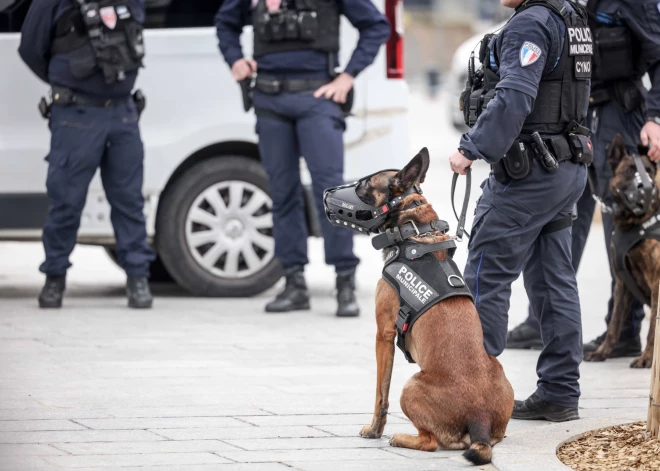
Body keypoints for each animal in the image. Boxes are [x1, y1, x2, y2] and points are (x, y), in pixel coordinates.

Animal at [356, 150, 516, 464]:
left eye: (366, 184)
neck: (413, 230)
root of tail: (479, 418)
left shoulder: (383, 335)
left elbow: (381, 394)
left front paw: (374, 430)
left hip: (411, 386)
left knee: (429, 442)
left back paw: (401, 437)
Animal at [584, 134, 656, 368]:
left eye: (649, 171)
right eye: (628, 170)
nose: (647, 187)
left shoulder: (657, 283)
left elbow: (652, 330)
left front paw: (647, 358)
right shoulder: (623, 283)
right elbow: (614, 324)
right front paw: (602, 352)